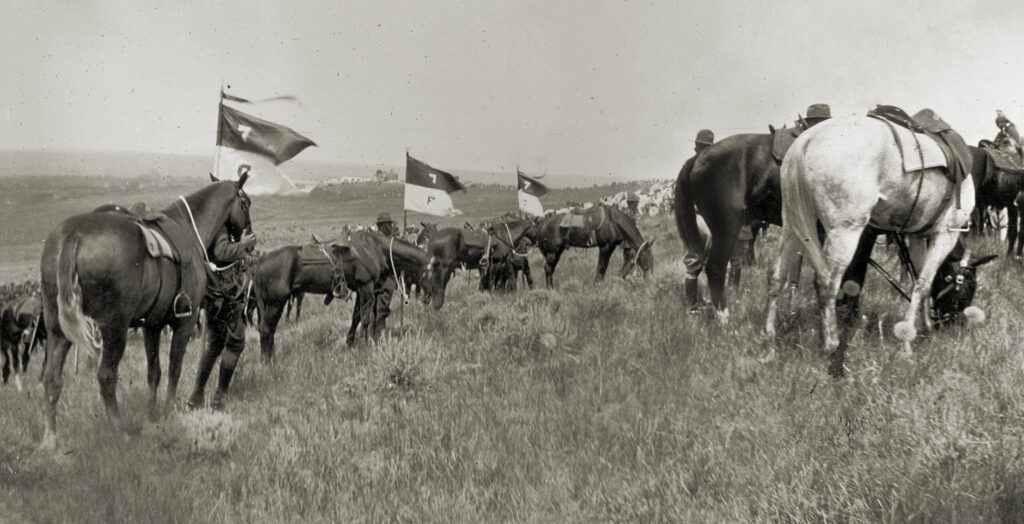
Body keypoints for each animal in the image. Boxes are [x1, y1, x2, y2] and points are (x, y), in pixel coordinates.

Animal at [38, 173, 250, 448]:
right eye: (246, 203)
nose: (249, 237)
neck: (189, 229)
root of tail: (75, 235)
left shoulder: (152, 326)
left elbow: (154, 372)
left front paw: (152, 413)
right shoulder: (185, 322)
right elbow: (174, 368)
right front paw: (169, 411)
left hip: (57, 329)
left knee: (52, 378)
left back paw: (50, 439)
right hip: (114, 330)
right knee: (106, 377)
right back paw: (121, 430)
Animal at [770, 115, 974, 356]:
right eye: (969, 286)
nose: (954, 324)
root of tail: (806, 139)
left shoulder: (916, 236)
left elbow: (920, 279)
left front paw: (926, 328)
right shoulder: (946, 233)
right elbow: (922, 284)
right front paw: (907, 345)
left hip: (792, 224)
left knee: (776, 276)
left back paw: (769, 336)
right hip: (844, 232)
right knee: (827, 284)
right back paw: (832, 343)